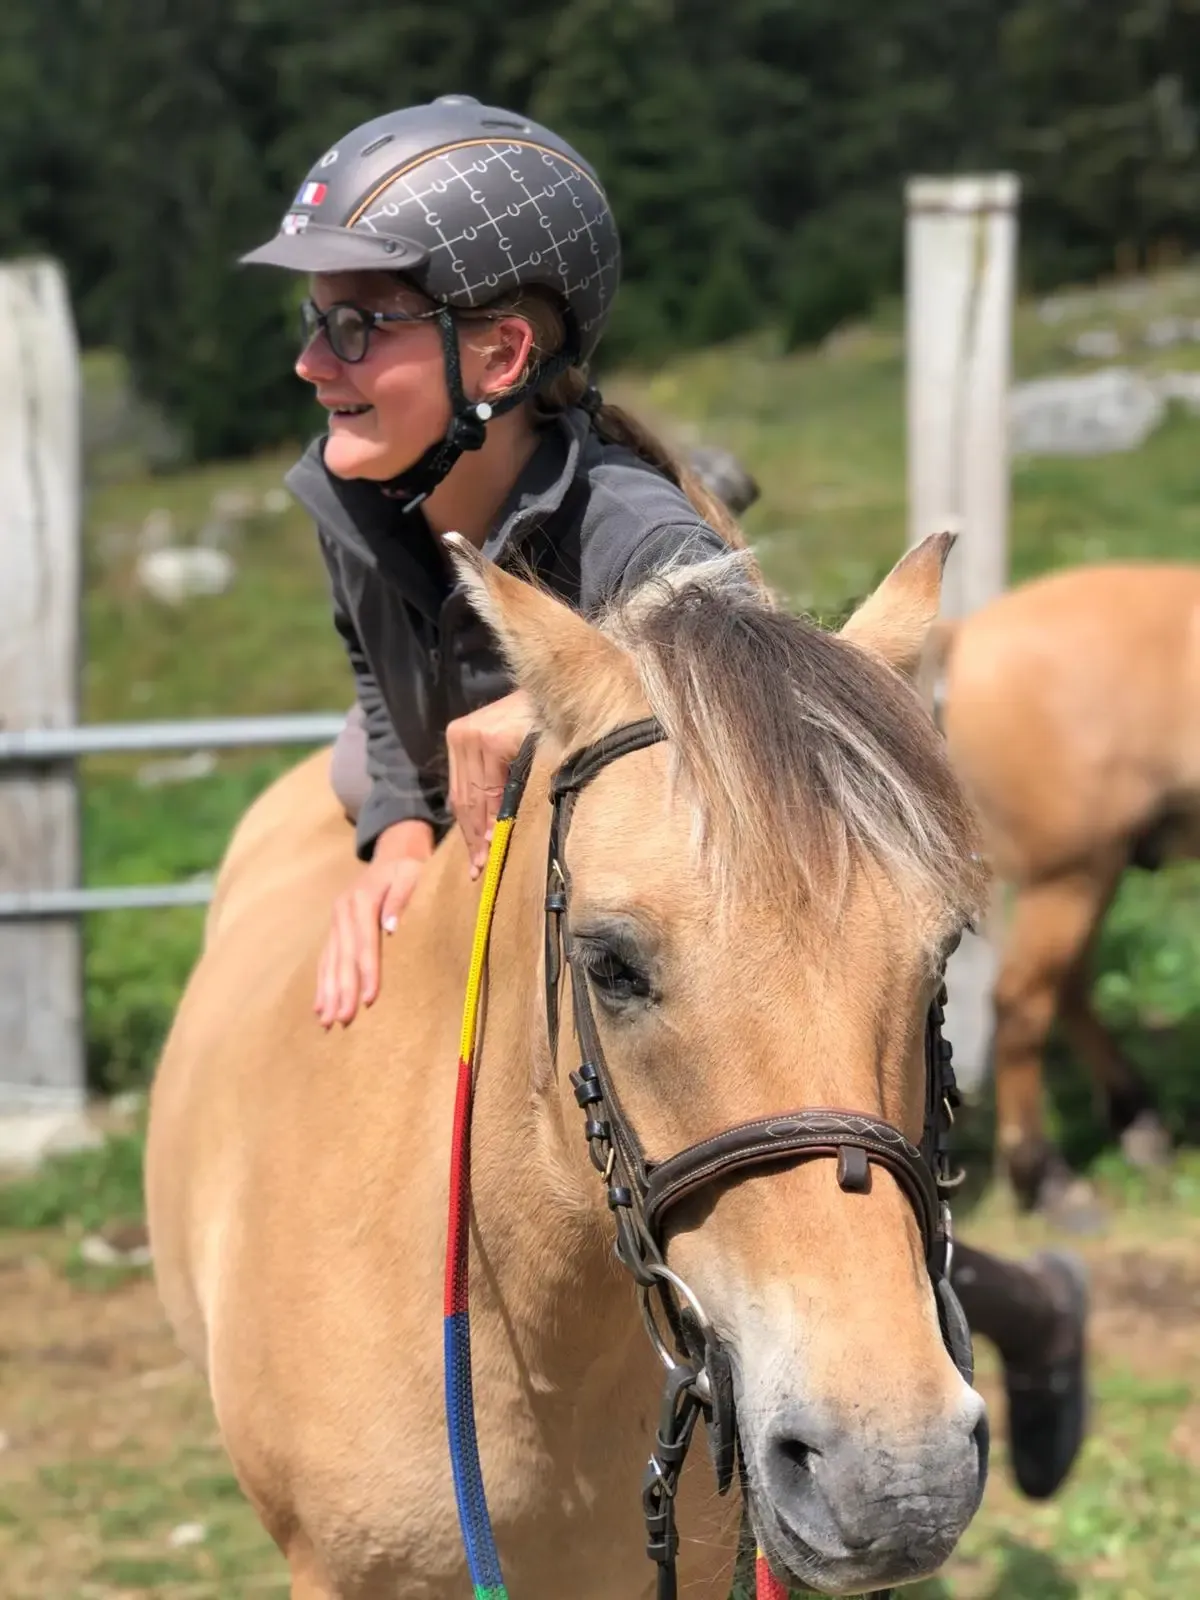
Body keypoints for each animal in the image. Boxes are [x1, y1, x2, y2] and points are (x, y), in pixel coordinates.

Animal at [933, 560, 1200, 1211]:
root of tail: (966, 635)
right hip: (1070, 873)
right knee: (1023, 1002)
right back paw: (1046, 1175)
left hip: (1092, 868)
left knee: (1066, 985)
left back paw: (1137, 1122)